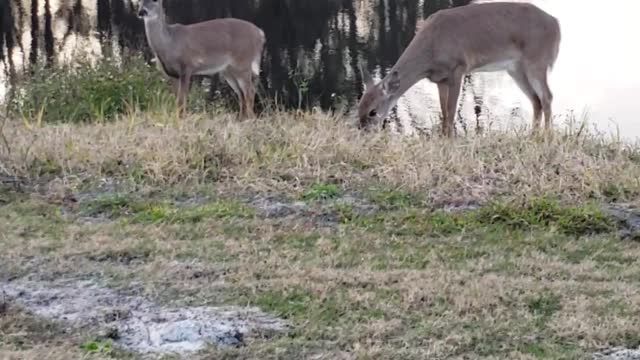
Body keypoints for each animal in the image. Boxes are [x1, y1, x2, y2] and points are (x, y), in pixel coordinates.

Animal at [136, 0, 264, 119]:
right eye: (139, 1)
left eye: (155, 0)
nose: (141, 12)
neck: (169, 43)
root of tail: (260, 34)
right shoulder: (172, 74)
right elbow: (177, 100)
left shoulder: (187, 67)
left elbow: (181, 100)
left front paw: (181, 120)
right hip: (228, 70)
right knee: (241, 93)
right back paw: (241, 119)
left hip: (243, 62)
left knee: (250, 91)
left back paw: (251, 119)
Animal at [358, 2, 564, 137]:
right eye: (359, 107)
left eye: (373, 112)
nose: (362, 133)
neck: (431, 49)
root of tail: (556, 24)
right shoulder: (439, 79)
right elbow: (443, 111)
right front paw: (444, 138)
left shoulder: (458, 68)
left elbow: (451, 111)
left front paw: (450, 140)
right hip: (516, 68)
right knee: (536, 99)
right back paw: (533, 135)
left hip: (536, 60)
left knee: (547, 96)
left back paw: (547, 136)